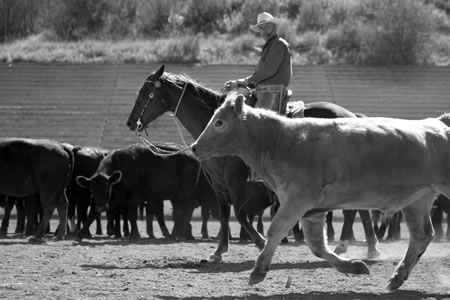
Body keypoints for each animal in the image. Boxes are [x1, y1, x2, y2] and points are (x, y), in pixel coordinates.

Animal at [125, 65, 380, 260]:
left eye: (145, 92)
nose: (130, 122)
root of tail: (351, 115)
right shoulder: (218, 183)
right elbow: (225, 214)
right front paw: (219, 251)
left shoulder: (235, 179)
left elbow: (239, 213)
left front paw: (259, 242)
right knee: (359, 210)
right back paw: (363, 248)